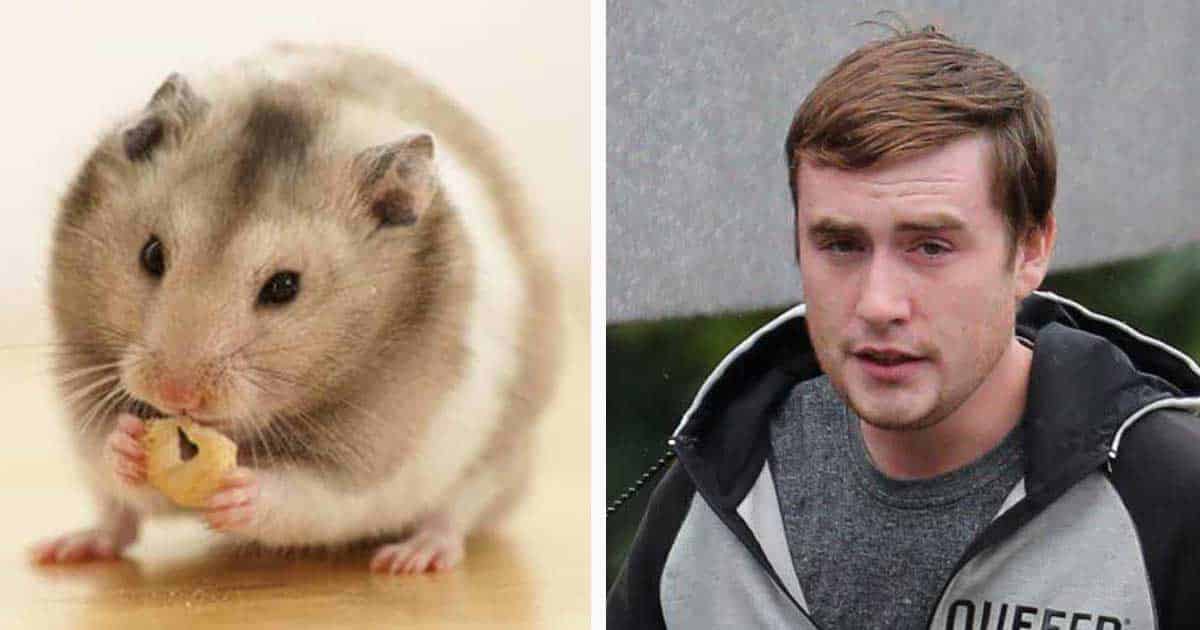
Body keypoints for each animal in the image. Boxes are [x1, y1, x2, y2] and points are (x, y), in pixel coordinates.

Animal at [31, 42, 558, 574]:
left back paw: (412, 559)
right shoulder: (81, 390)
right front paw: (126, 443)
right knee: (116, 519)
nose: (176, 395)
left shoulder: (367, 460)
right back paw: (64, 550)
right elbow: (107, 453)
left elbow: (306, 496)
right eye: (151, 255)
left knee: (454, 513)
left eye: (284, 287)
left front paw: (239, 490)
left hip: (494, 460)